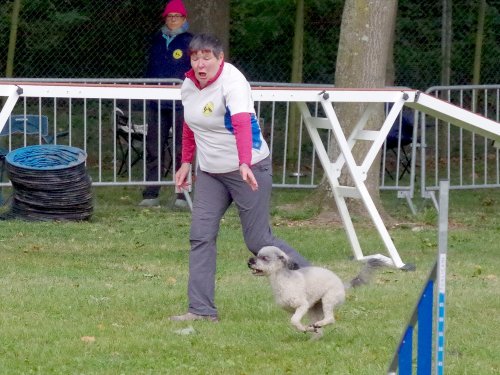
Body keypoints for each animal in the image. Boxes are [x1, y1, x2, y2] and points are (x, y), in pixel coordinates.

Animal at [247, 247, 382, 338]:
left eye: (264, 258)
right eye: (257, 255)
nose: (249, 261)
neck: (284, 281)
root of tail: (343, 285)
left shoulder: (302, 305)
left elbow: (294, 321)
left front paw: (303, 328)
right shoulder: (292, 310)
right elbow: (295, 322)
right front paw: (306, 329)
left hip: (328, 300)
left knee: (330, 319)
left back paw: (318, 325)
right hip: (314, 309)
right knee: (319, 328)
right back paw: (314, 335)